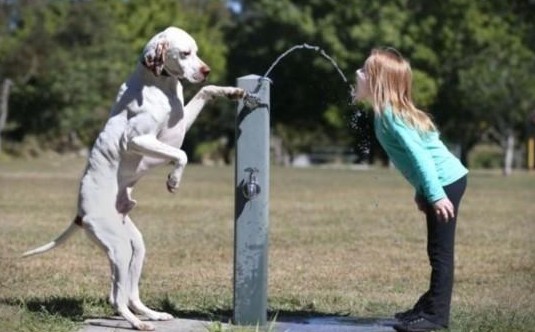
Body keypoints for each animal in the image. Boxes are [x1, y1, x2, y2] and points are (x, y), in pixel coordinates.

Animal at [22, 27, 245, 330]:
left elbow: (205, 92)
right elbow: (182, 154)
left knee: (129, 293)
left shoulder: (179, 126)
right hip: (119, 249)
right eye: (185, 53)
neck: (159, 84)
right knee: (117, 298)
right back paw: (138, 323)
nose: (206, 70)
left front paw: (231, 91)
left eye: (197, 52)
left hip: (135, 247)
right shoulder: (140, 139)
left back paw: (152, 314)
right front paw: (173, 180)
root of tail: (80, 214)